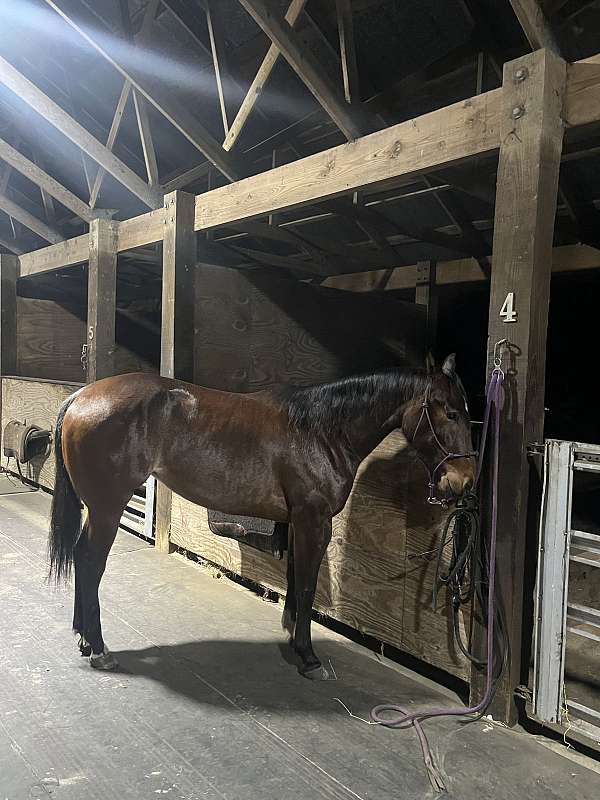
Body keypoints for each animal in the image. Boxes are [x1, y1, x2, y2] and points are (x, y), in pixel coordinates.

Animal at [48, 353, 475, 679]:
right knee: (91, 562)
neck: (321, 431)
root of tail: (81, 395)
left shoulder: (297, 522)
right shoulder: (314, 521)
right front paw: (308, 657)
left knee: (81, 557)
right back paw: (99, 648)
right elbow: (306, 585)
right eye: (451, 413)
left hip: (97, 509)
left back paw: (84, 638)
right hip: (108, 508)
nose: (464, 481)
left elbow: (295, 581)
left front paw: (293, 640)